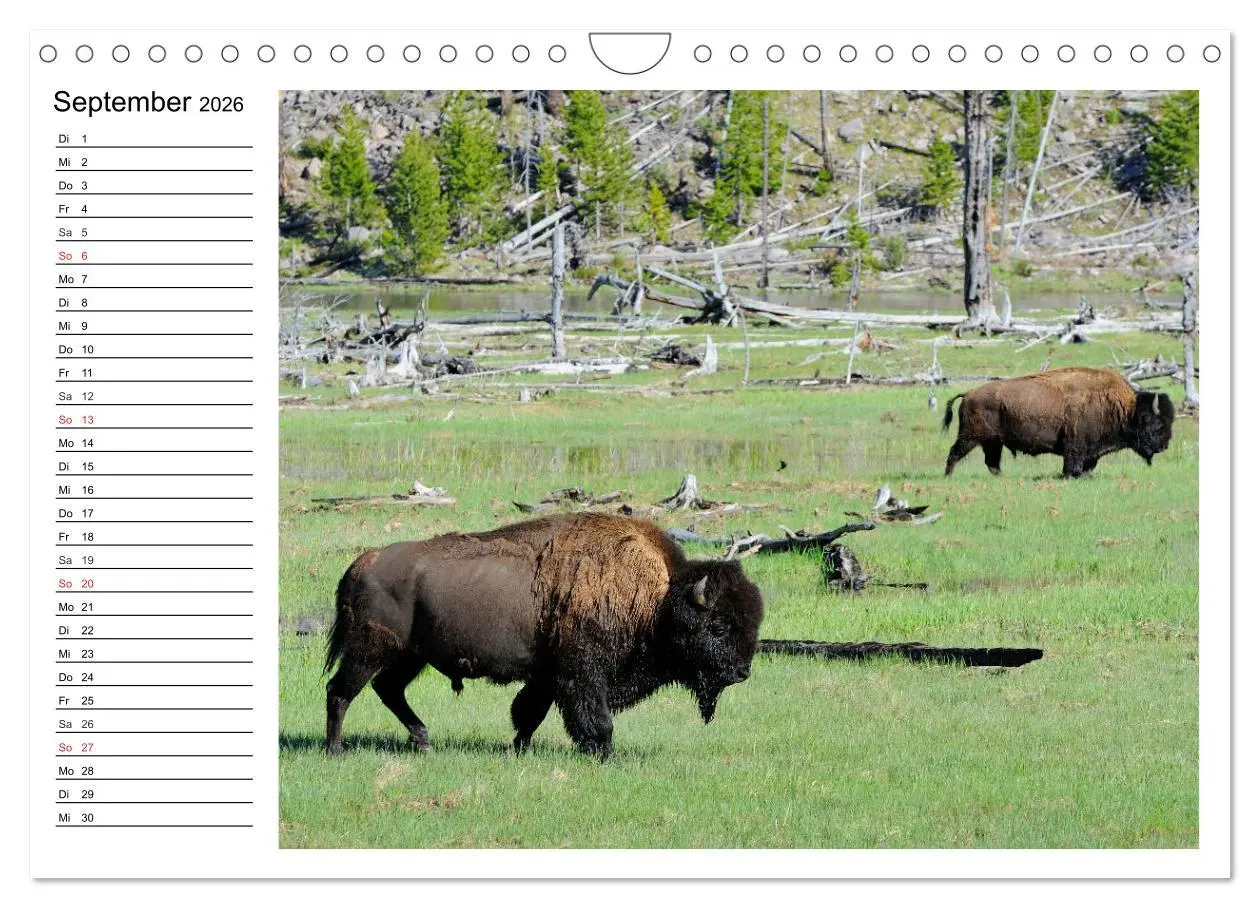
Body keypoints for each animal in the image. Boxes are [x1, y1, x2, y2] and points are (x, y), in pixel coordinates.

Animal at [323, 512, 764, 759]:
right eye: (719, 626)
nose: (742, 672)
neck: (658, 599)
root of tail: (365, 561)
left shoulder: (547, 677)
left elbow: (529, 713)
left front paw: (519, 750)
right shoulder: (581, 675)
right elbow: (595, 719)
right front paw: (605, 755)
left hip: (410, 656)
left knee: (388, 689)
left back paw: (422, 740)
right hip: (371, 649)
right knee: (341, 691)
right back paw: (336, 751)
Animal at [942, 367, 1175, 478]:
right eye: (1156, 423)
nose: (1164, 446)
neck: (1124, 408)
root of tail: (969, 393)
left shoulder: (1091, 451)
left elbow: (1088, 466)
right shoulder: (1075, 446)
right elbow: (1073, 465)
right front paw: (1071, 476)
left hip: (993, 441)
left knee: (992, 463)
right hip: (971, 437)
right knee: (954, 453)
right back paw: (948, 477)